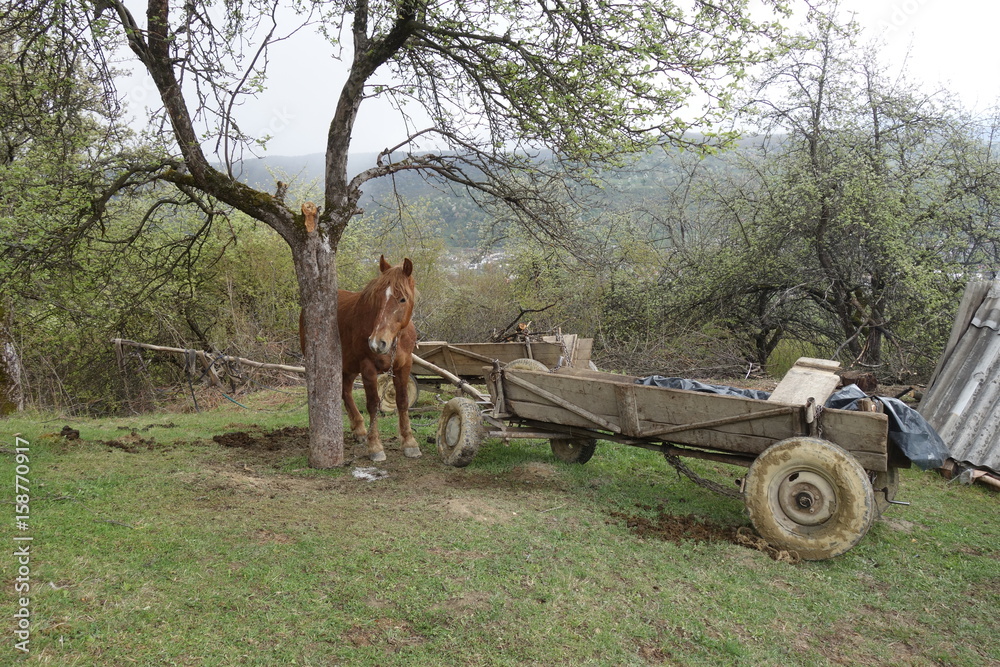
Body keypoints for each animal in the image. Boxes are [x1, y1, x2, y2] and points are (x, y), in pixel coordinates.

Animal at [300, 255, 421, 462]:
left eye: (402, 299)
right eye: (378, 298)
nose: (377, 342)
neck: (396, 338)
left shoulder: (404, 366)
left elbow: (403, 401)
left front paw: (409, 442)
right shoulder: (368, 367)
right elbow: (372, 404)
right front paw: (375, 446)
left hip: (348, 367)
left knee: (345, 391)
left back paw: (359, 429)